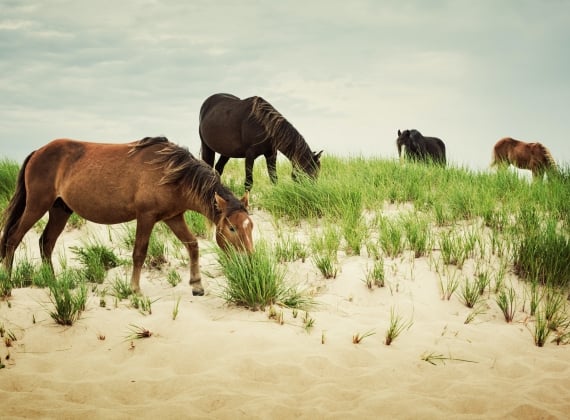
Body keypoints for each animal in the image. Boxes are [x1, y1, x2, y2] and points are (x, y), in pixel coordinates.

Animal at [0, 136, 253, 294]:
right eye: (231, 228)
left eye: (250, 226)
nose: (250, 260)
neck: (172, 172)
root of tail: (38, 152)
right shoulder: (146, 217)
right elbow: (139, 253)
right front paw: (135, 289)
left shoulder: (173, 217)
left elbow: (192, 245)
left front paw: (197, 285)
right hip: (37, 205)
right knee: (13, 239)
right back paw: (8, 283)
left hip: (60, 210)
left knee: (46, 243)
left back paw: (52, 284)